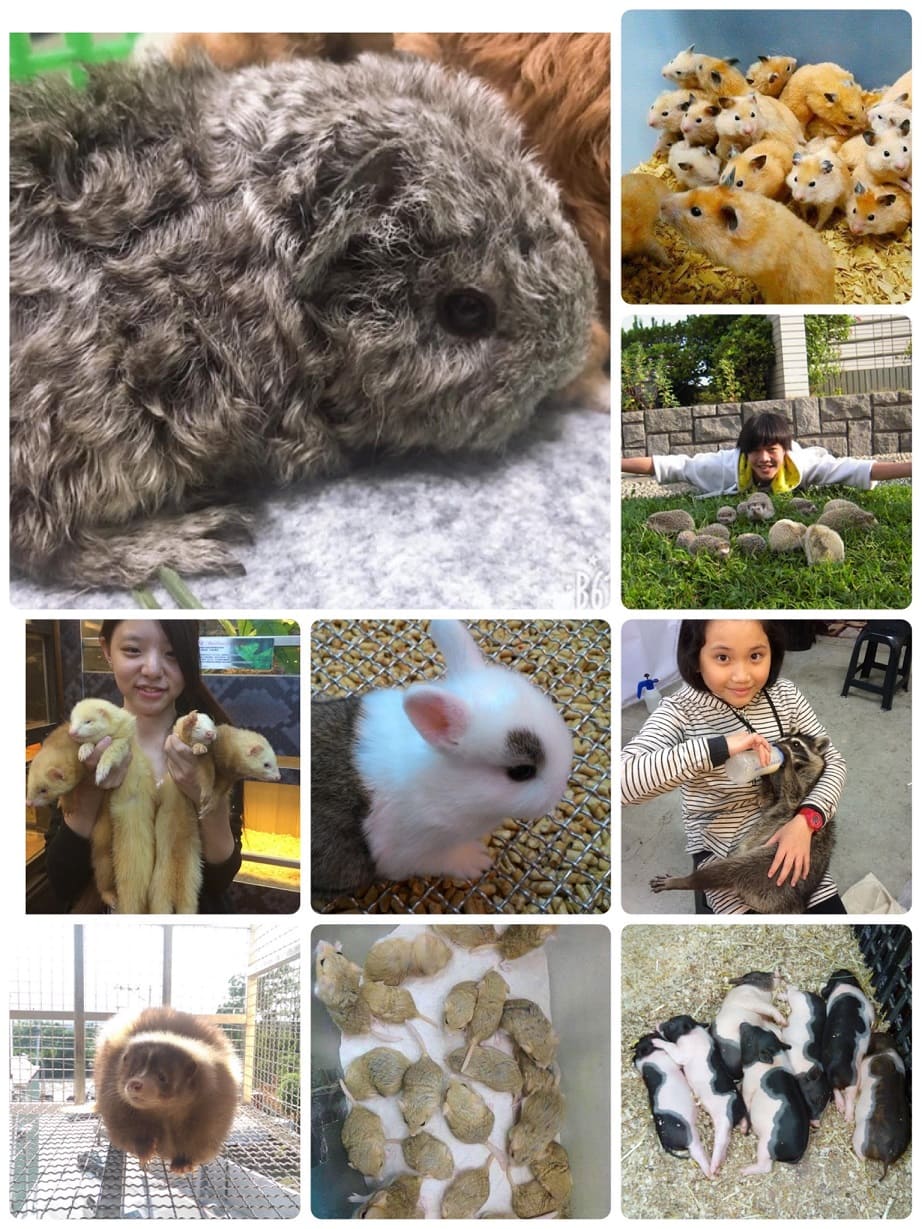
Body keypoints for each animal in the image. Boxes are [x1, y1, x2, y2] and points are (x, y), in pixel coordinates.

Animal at [94, 1006, 240, 1172]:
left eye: (162, 1077)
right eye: (132, 1071)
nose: (135, 1083)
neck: (164, 1108)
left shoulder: (212, 1100)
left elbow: (202, 1137)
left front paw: (183, 1163)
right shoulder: (113, 1090)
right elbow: (124, 1125)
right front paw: (145, 1151)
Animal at [311, 620, 573, 892]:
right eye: (521, 772)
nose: (560, 790)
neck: (447, 785)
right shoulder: (412, 851)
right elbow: (446, 859)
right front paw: (478, 860)